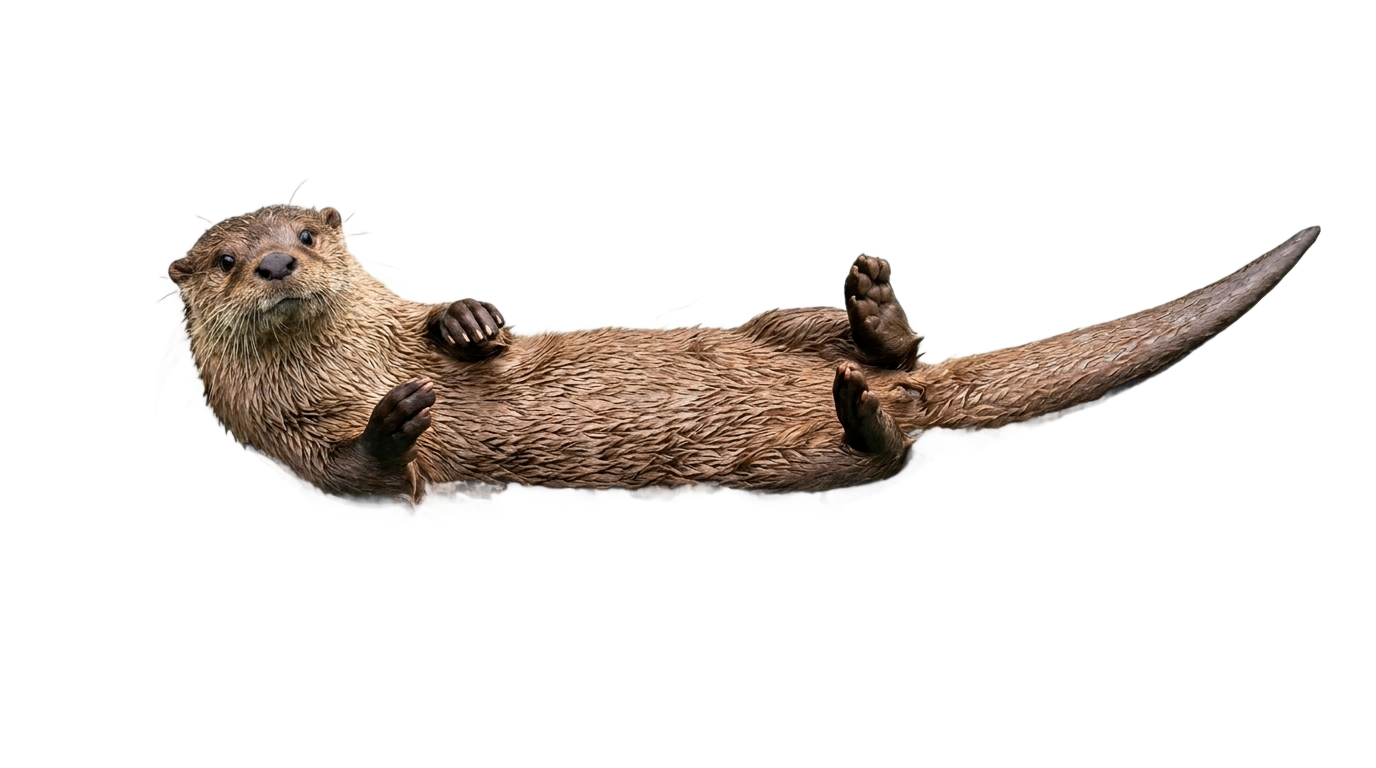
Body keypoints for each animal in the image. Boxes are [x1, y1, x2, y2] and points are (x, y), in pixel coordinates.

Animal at [168, 206, 1317, 503]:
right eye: (223, 259)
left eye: (308, 233)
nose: (274, 261)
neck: (348, 362)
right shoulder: (280, 442)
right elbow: (362, 478)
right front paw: (394, 420)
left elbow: (443, 320)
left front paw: (467, 325)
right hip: (769, 463)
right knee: (869, 458)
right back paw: (869, 417)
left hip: (770, 335)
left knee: (872, 344)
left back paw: (875, 322)